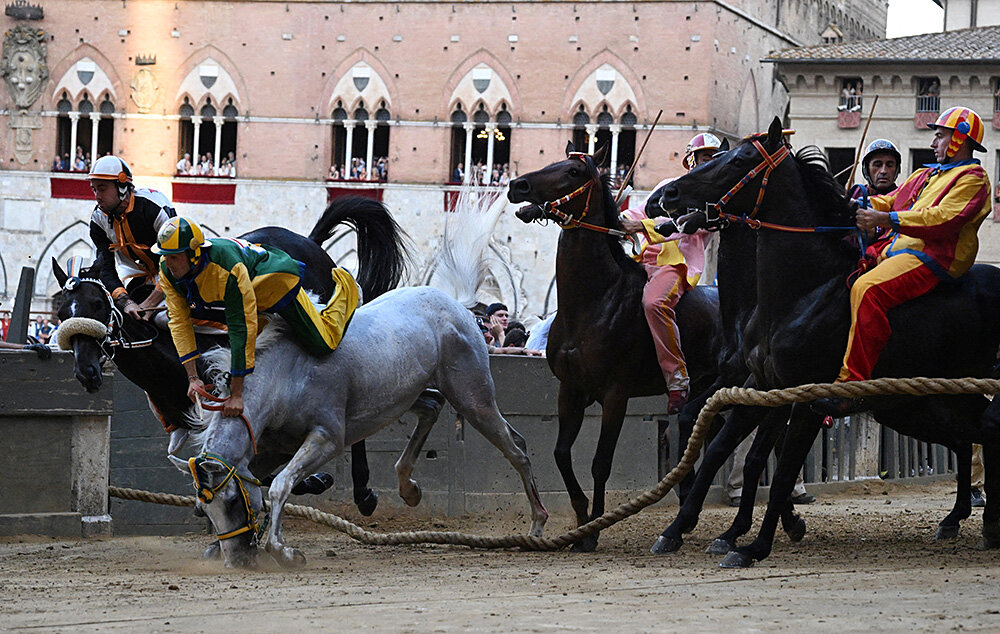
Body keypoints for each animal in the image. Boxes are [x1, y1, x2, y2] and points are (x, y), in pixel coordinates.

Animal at [52, 196, 406, 512]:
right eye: (62, 313)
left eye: (97, 304)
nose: (86, 372)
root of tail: (308, 240)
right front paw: (308, 481)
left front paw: (315, 479)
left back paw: (364, 492)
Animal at [170, 284, 548, 564]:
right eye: (202, 509)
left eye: (234, 501)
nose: (237, 560)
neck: (286, 375)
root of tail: (459, 308)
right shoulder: (275, 448)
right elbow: (267, 480)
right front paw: (217, 547)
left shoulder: (327, 439)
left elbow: (279, 485)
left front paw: (284, 552)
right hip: (407, 396)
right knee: (431, 407)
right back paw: (408, 487)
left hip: (472, 398)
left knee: (516, 447)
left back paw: (536, 526)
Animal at [512, 142, 724, 548]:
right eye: (553, 162)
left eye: (574, 172)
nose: (518, 185)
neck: (594, 301)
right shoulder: (570, 390)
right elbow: (561, 454)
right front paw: (580, 517)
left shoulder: (615, 393)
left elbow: (600, 462)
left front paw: (593, 529)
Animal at [656, 116, 1000, 564]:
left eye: (739, 159)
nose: (666, 195)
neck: (802, 293)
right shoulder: (761, 385)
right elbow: (728, 452)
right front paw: (682, 528)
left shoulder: (806, 397)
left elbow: (778, 471)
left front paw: (753, 544)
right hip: (926, 402)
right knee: (972, 436)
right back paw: (965, 519)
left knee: (981, 433)